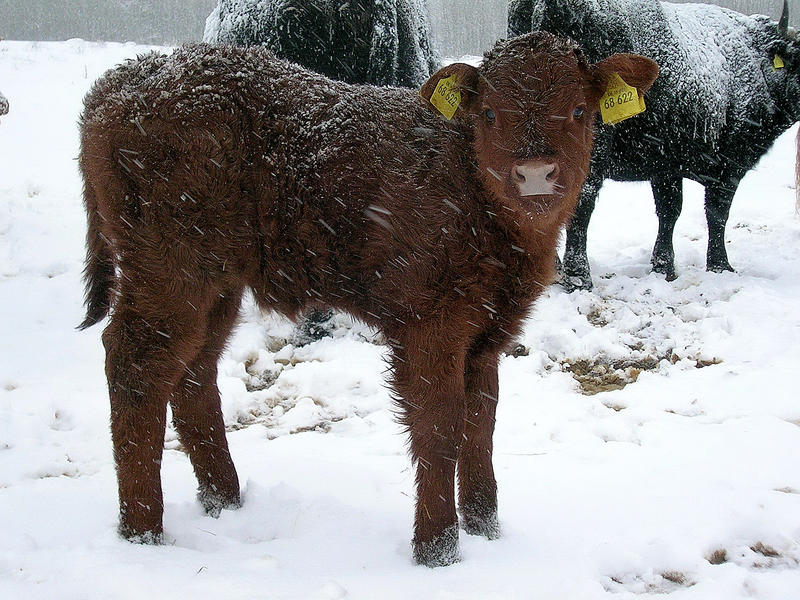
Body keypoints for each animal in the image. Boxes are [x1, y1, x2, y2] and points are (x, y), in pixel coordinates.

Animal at [78, 34, 660, 568]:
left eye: (579, 110)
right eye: (490, 113)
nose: (535, 173)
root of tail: (127, 78)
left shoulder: (490, 330)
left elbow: (482, 421)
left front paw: (486, 528)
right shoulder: (429, 325)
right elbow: (438, 425)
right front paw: (437, 549)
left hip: (217, 281)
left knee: (194, 370)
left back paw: (225, 500)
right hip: (170, 268)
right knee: (135, 363)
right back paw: (144, 532)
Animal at [512, 0, 800, 288]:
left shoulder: (666, 166)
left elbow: (670, 211)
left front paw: (664, 266)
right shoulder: (729, 167)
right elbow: (717, 214)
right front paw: (720, 266)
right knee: (580, 202)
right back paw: (577, 276)